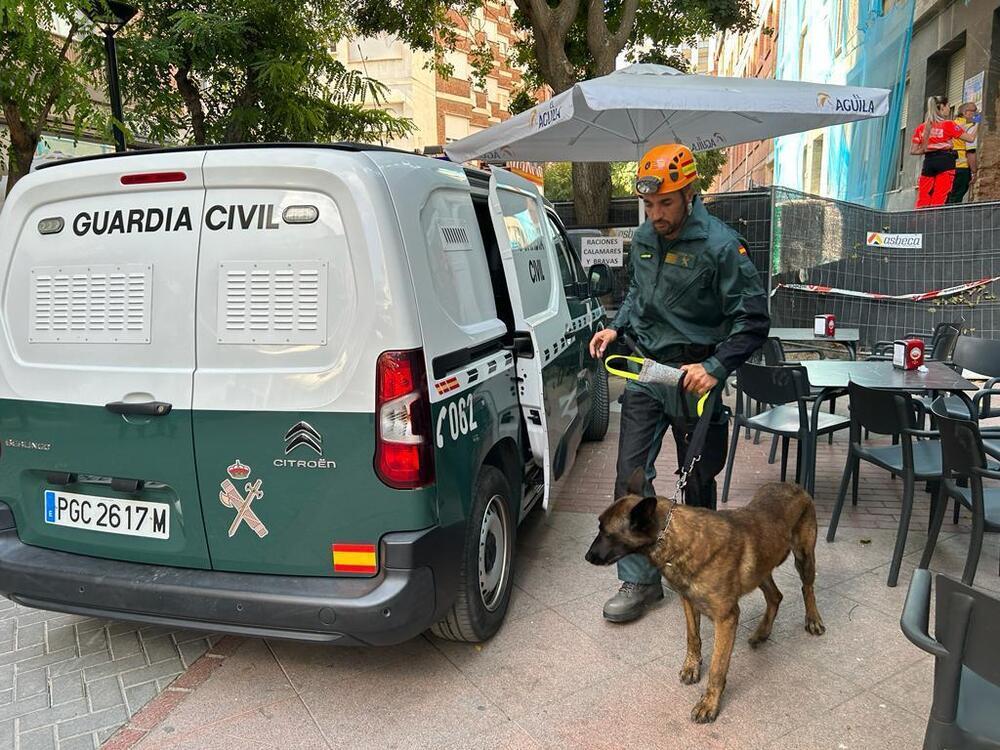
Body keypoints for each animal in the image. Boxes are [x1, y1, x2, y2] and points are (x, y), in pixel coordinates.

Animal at [584, 472, 824, 724]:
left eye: (607, 533)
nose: (587, 557)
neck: (674, 536)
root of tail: (794, 486)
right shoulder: (688, 601)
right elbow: (693, 637)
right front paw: (692, 666)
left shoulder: (726, 619)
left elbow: (718, 667)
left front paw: (709, 703)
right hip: (761, 568)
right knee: (776, 596)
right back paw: (762, 632)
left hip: (804, 558)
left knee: (807, 588)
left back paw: (813, 619)